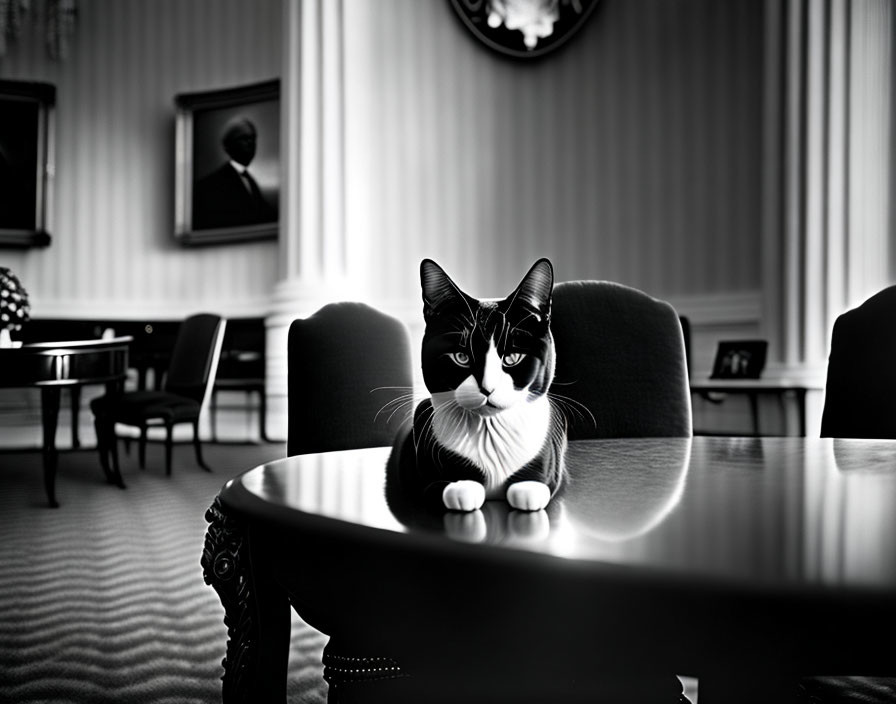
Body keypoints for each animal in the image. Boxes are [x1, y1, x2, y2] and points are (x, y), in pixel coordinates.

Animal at [398, 258, 568, 512]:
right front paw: (462, 487)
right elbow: (432, 485)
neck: (489, 431)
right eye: (461, 357)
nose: (487, 388)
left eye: (512, 357)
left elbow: (537, 483)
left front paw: (527, 488)